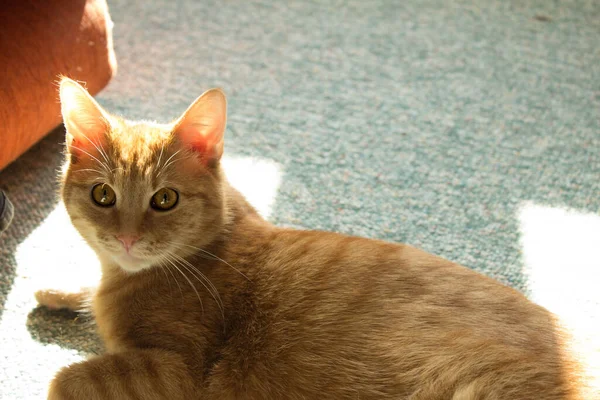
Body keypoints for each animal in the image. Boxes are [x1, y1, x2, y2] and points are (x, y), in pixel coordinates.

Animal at [38, 76, 592, 398]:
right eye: (104, 195)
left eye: (165, 200)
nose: (127, 240)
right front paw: (59, 290)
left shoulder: (177, 370)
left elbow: (66, 379)